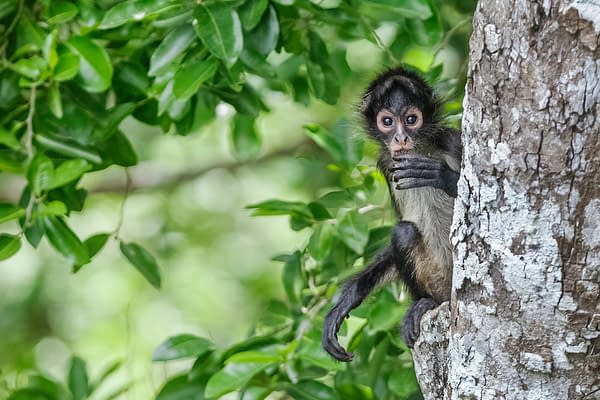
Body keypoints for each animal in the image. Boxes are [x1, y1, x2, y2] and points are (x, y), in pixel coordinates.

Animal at [324, 67, 460, 360]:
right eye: (387, 121)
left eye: (411, 119)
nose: (401, 138)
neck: (420, 149)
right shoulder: (387, 163)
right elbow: (399, 225)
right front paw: (348, 298)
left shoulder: (452, 140)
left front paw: (441, 176)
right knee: (404, 231)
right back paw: (426, 302)